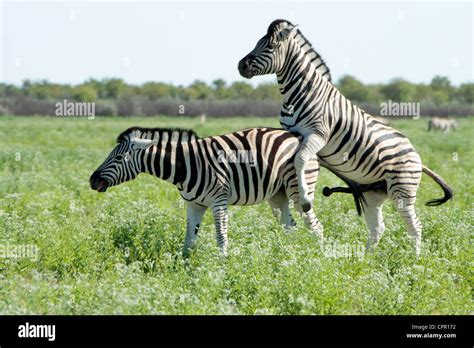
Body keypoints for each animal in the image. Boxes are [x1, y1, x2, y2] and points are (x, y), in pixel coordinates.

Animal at [90, 127, 322, 256]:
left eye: (119, 157)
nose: (92, 180)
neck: (184, 165)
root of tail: (296, 135)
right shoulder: (194, 204)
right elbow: (189, 239)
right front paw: (185, 266)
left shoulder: (218, 201)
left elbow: (221, 236)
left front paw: (223, 264)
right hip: (277, 195)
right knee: (290, 227)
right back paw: (287, 255)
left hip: (298, 189)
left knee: (315, 226)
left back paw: (318, 258)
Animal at [239, 19, 454, 254]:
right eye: (257, 43)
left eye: (270, 46)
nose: (241, 66)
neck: (300, 94)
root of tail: (417, 156)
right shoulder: (289, 132)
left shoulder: (318, 134)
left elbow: (300, 159)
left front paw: (305, 199)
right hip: (373, 194)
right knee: (378, 227)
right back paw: (367, 260)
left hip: (402, 190)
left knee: (415, 226)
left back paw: (415, 259)